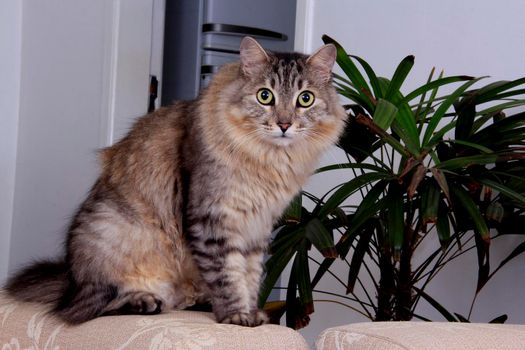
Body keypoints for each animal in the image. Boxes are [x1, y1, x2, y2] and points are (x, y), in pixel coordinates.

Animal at [5, 35, 348, 326]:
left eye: (305, 99)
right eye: (265, 96)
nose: (284, 124)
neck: (269, 161)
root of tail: (70, 282)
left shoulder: (257, 225)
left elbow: (249, 276)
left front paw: (252, 312)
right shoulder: (213, 217)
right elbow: (228, 274)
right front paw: (237, 316)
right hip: (110, 230)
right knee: (89, 308)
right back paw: (145, 301)